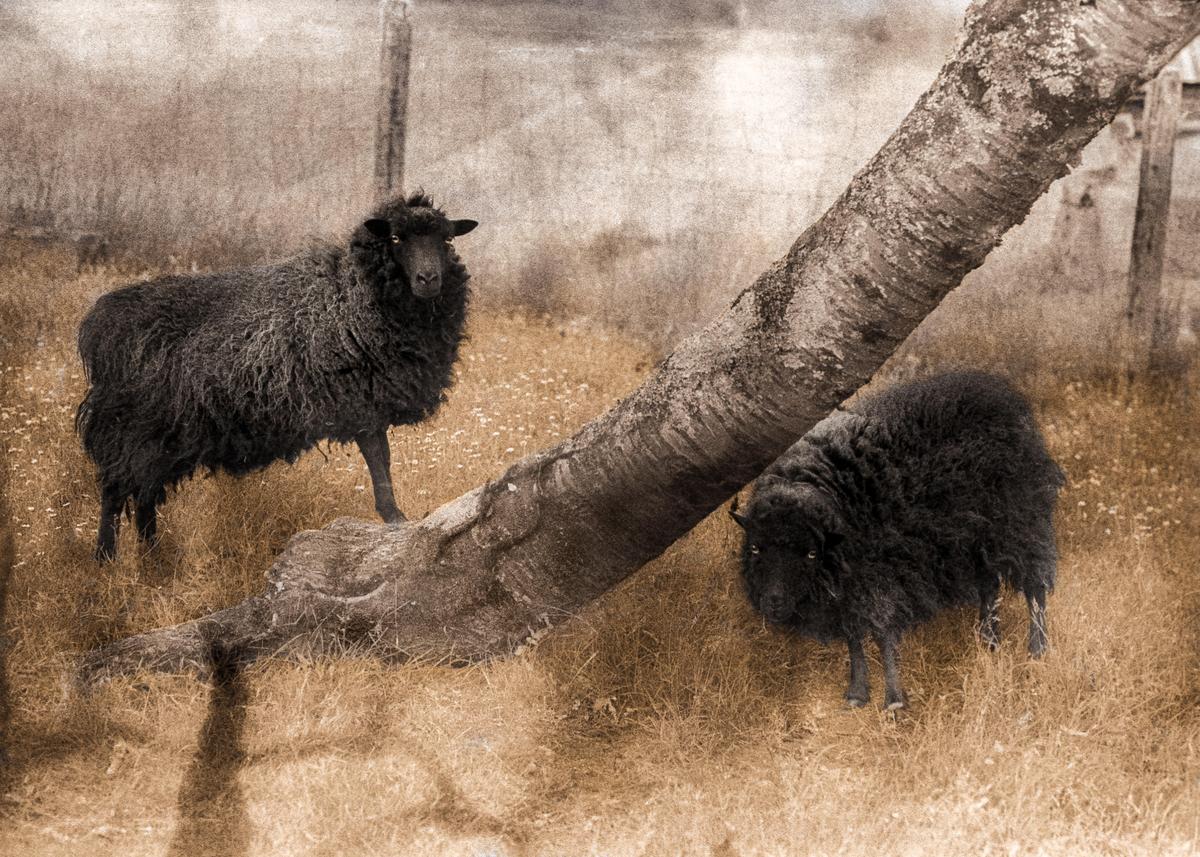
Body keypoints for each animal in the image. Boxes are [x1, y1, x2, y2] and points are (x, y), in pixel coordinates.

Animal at [76, 192, 477, 562]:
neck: (353, 295)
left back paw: (153, 557)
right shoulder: (361, 401)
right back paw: (106, 559)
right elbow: (380, 462)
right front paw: (395, 517)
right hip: (132, 428)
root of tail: (99, 323)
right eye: (395, 238)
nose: (428, 279)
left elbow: (382, 461)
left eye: (446, 240)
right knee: (115, 491)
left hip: (166, 436)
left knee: (144, 493)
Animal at [730, 371, 1064, 710]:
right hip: (974, 541)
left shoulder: (881, 580)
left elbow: (883, 635)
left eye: (811, 553)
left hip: (1020, 523)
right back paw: (989, 642)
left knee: (1035, 587)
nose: (774, 602)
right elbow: (853, 638)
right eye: (755, 547)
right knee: (989, 587)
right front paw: (857, 693)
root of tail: (1002, 396)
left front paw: (893, 700)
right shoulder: (849, 589)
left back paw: (1037, 649)